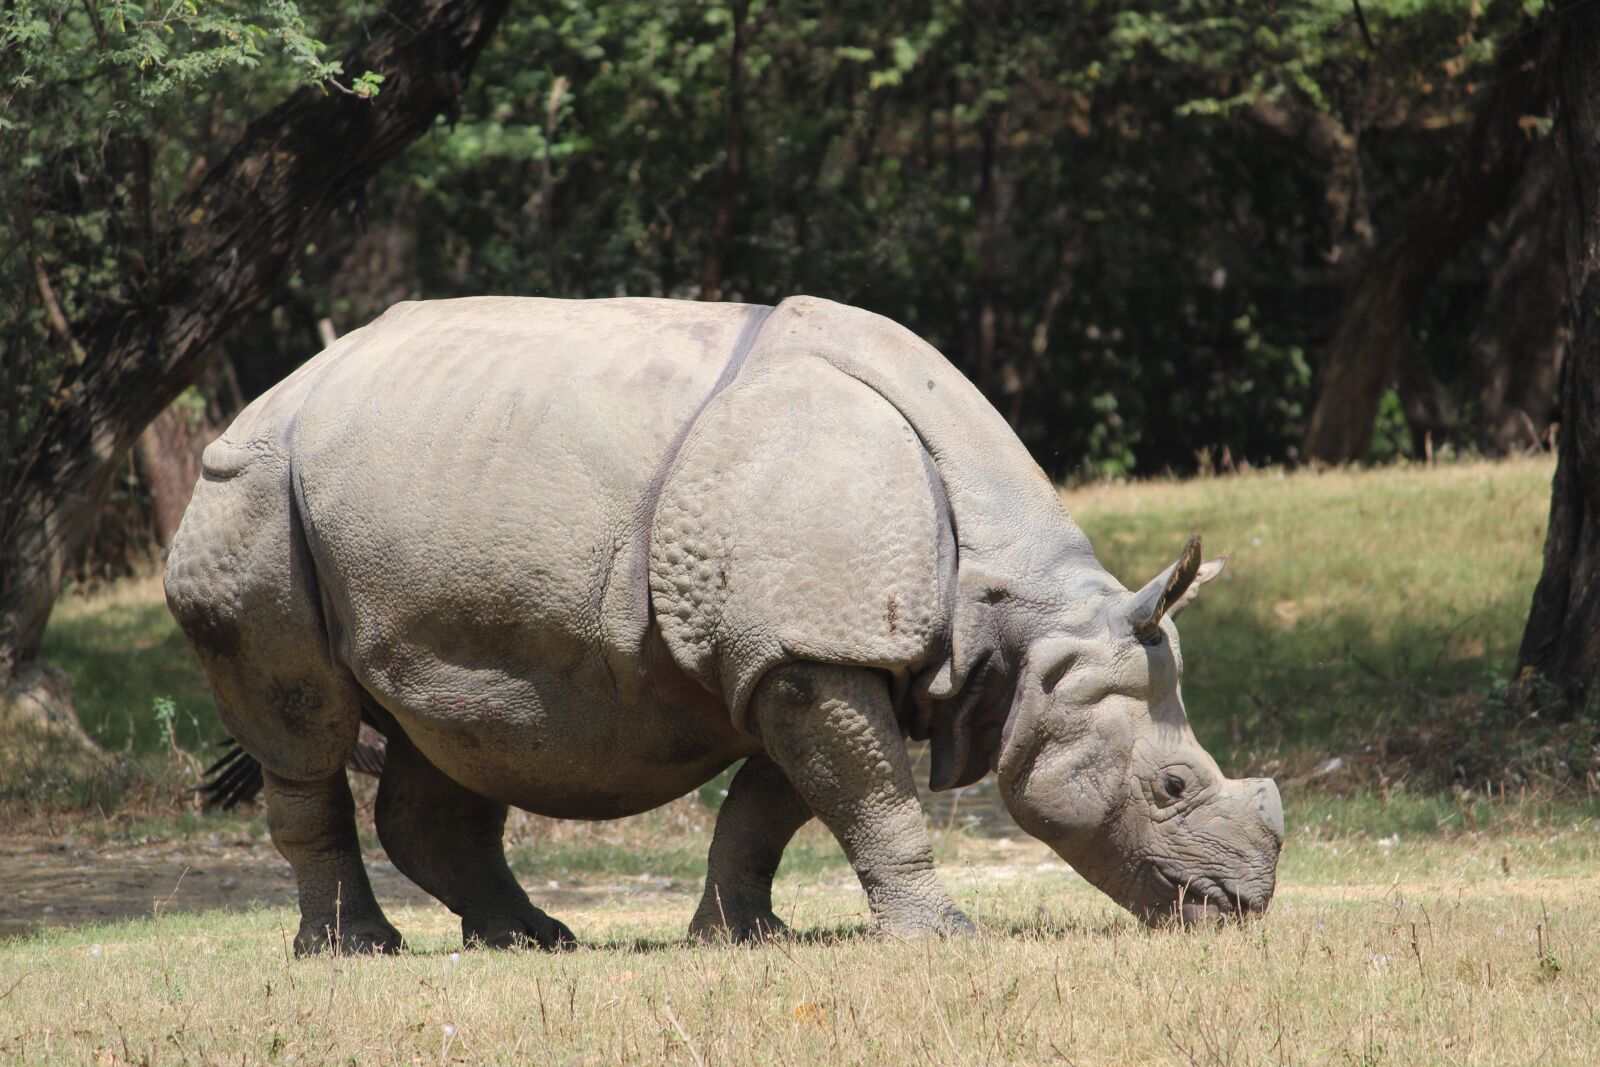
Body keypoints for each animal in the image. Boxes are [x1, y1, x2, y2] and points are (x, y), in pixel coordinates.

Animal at [164, 295, 1283, 953]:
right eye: (1171, 786)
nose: (1242, 907)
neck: (1019, 614)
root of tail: (266, 396)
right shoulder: (811, 649)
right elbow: (871, 797)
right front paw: (947, 938)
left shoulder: (799, 651)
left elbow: (775, 804)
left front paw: (741, 936)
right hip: (251, 492)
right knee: (303, 724)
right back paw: (359, 951)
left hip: (412, 499)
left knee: (448, 725)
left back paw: (533, 940)